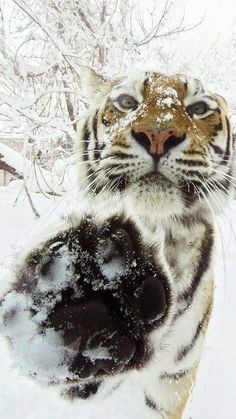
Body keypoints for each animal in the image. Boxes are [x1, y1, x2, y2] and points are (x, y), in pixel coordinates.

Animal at [0, 69, 234, 419]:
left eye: (199, 108)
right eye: (126, 102)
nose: (158, 135)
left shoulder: (172, 380)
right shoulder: (90, 384)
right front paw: (89, 288)